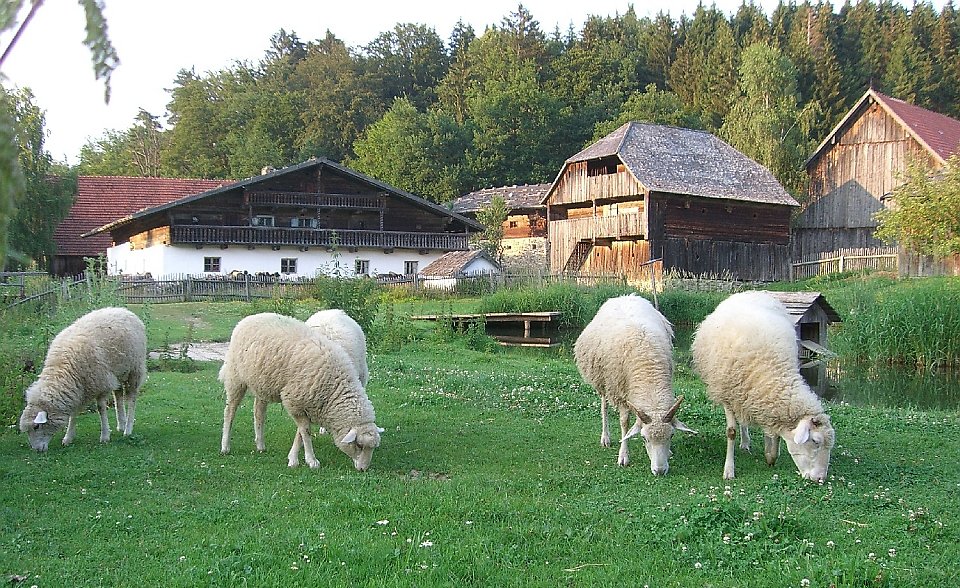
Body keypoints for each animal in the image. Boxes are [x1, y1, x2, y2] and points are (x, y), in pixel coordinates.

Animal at [18, 306, 147, 452]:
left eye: (36, 426)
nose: (37, 450)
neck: (62, 369)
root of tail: (123, 309)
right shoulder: (78, 389)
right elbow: (73, 413)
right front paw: (68, 437)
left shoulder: (101, 383)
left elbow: (101, 409)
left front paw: (105, 435)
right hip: (119, 372)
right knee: (118, 397)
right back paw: (121, 424)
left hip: (134, 369)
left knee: (131, 399)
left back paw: (128, 429)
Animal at [218, 312, 382, 474]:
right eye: (359, 445)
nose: (363, 469)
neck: (334, 385)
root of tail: (250, 317)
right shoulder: (295, 401)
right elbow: (305, 431)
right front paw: (310, 460)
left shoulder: (307, 402)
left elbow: (301, 432)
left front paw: (294, 457)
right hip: (235, 377)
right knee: (229, 411)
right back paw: (225, 446)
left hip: (262, 382)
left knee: (259, 412)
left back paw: (260, 444)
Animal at [572, 294, 692, 474]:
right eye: (644, 438)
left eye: (671, 436)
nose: (660, 471)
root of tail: (625, 296)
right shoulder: (619, 392)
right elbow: (624, 422)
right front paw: (623, 455)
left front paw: (669, 451)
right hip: (603, 382)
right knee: (604, 406)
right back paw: (605, 437)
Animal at [688, 290, 832, 482]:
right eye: (815, 441)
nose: (821, 479)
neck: (772, 370)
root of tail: (750, 292)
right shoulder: (727, 395)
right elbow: (731, 432)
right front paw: (729, 470)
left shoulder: (765, 396)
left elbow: (773, 432)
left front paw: (771, 455)